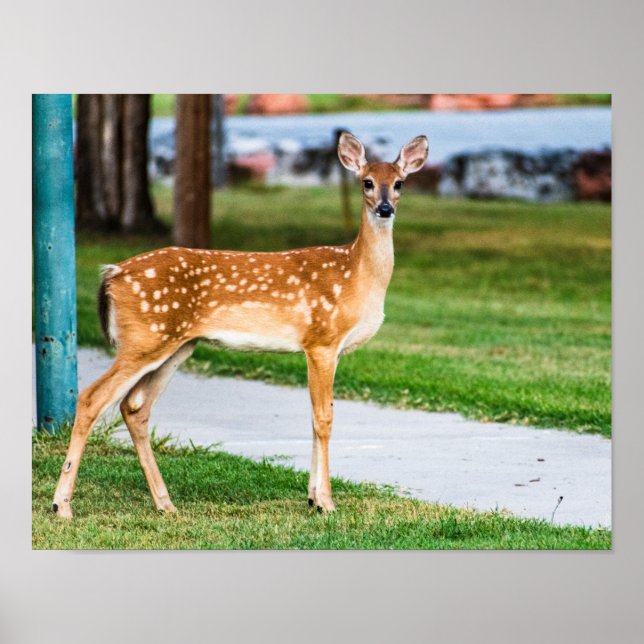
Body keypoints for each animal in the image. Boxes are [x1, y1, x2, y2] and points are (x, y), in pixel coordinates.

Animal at [52, 132, 429, 519]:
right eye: (366, 182)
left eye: (398, 183)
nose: (385, 208)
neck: (356, 275)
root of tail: (112, 273)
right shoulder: (321, 339)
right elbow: (324, 418)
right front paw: (326, 502)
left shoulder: (327, 349)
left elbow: (313, 417)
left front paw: (311, 497)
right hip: (146, 336)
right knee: (92, 398)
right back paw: (62, 505)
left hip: (176, 344)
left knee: (135, 406)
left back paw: (165, 502)